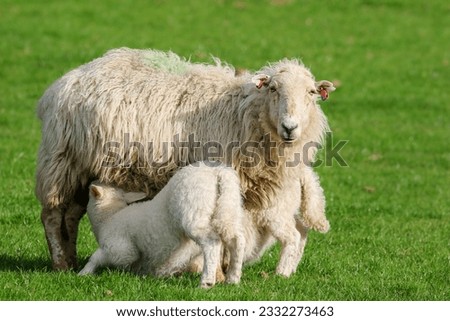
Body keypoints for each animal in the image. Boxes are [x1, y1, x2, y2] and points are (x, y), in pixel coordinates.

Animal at [37, 48, 334, 272]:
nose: (290, 127)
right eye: (273, 88)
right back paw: (60, 263)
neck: (244, 113)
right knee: (52, 214)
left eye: (311, 93)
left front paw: (221, 267)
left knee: (72, 214)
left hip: (82, 168)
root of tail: (69, 79)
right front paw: (213, 268)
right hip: (61, 161)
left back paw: (71, 260)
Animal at [80, 161, 276, 286]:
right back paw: (233, 280)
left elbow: (99, 256)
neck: (109, 217)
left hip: (194, 210)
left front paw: (83, 273)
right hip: (229, 207)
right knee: (237, 240)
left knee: (211, 243)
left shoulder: (121, 248)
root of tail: (216, 172)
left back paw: (206, 282)